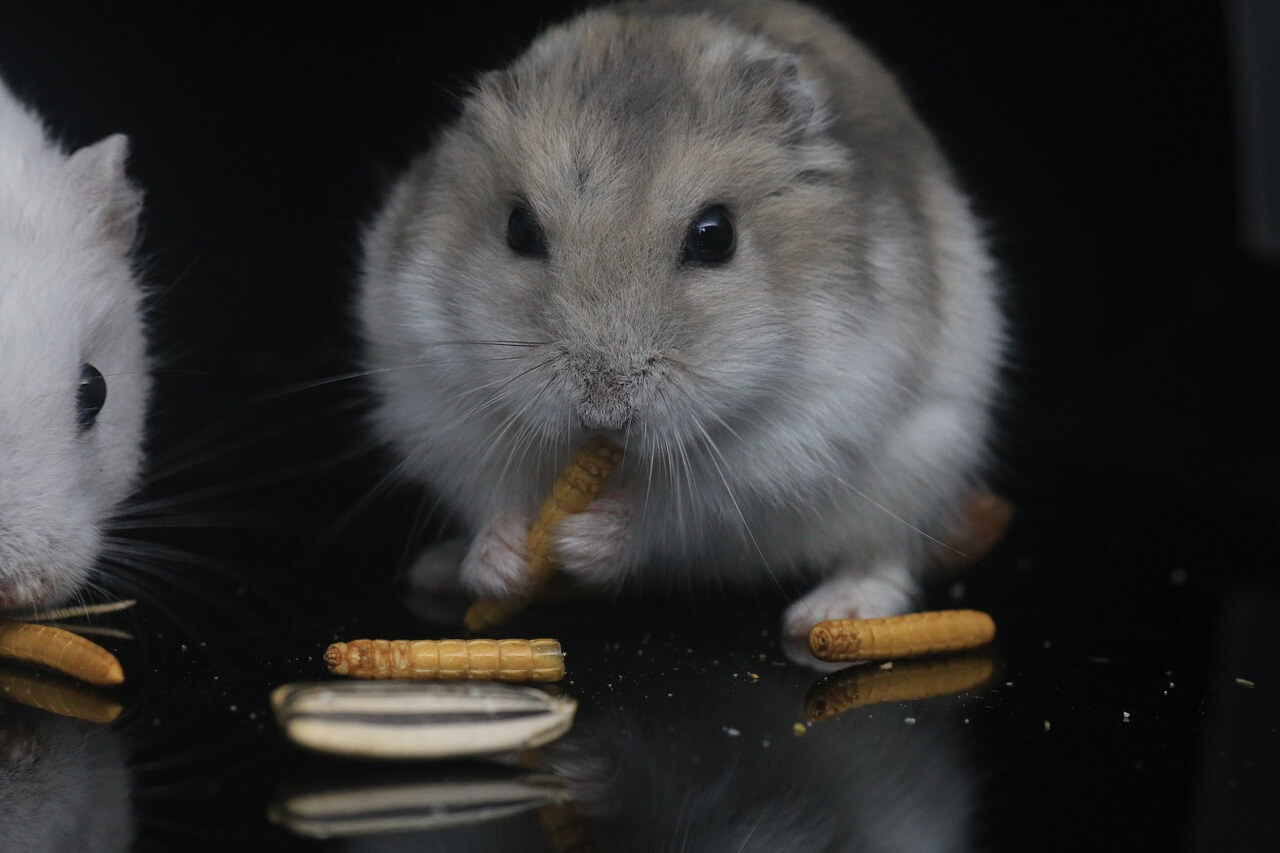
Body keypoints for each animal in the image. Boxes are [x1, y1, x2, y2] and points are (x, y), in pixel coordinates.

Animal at [358, 0, 1004, 639]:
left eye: (715, 236)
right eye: (519, 227)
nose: (604, 412)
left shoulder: (803, 428)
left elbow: (683, 509)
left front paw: (583, 538)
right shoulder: (435, 391)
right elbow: (492, 488)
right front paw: (503, 559)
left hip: (923, 460)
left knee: (886, 554)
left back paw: (830, 614)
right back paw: (439, 569)